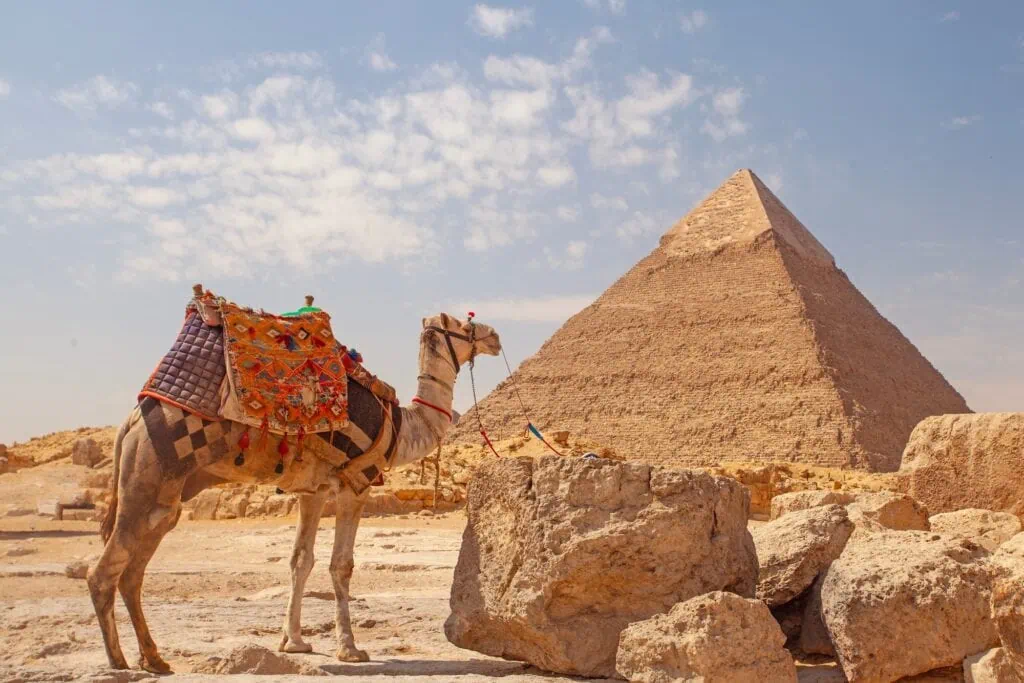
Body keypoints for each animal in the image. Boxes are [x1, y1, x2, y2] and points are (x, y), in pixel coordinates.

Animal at [87, 311, 501, 673]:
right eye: (464, 324)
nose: (494, 336)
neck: (401, 425)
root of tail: (129, 423)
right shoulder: (356, 484)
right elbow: (341, 565)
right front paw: (350, 648)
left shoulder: (312, 490)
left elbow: (300, 560)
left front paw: (294, 642)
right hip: (150, 473)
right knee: (103, 572)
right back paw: (119, 661)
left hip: (164, 495)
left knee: (133, 572)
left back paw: (154, 659)